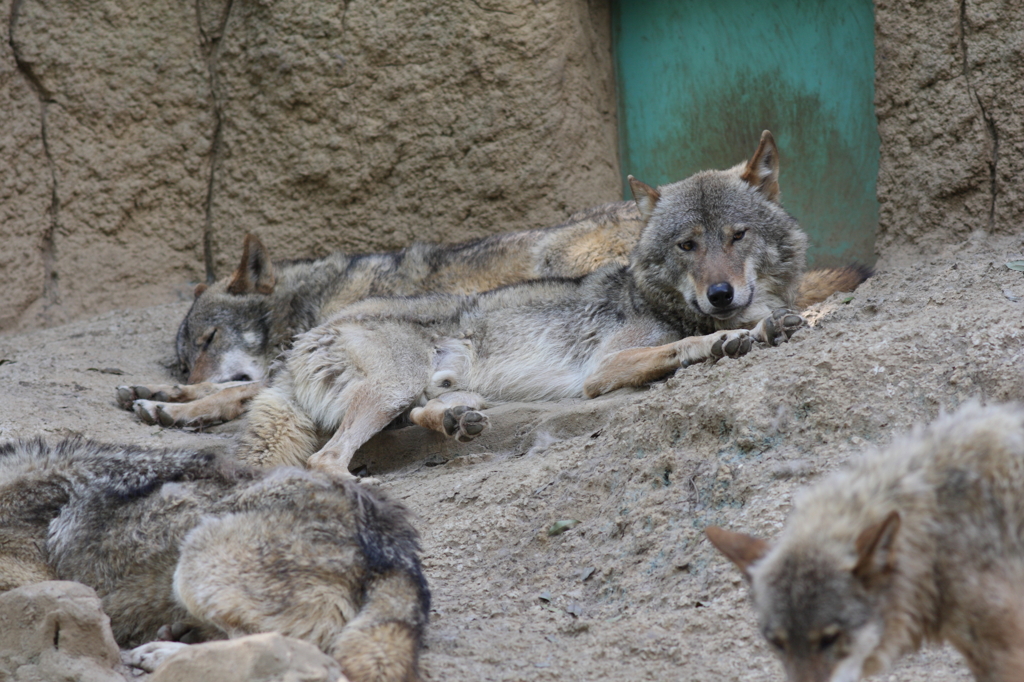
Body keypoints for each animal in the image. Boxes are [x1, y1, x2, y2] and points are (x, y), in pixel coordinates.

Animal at [228, 130, 819, 475]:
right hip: (392, 385)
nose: (720, 295)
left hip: (417, 390)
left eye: (737, 235)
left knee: (414, 414)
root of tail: (300, 342)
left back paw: (455, 420)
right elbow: (686, 344)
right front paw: (728, 337)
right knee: (327, 460)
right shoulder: (602, 370)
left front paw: (763, 327)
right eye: (687, 245)